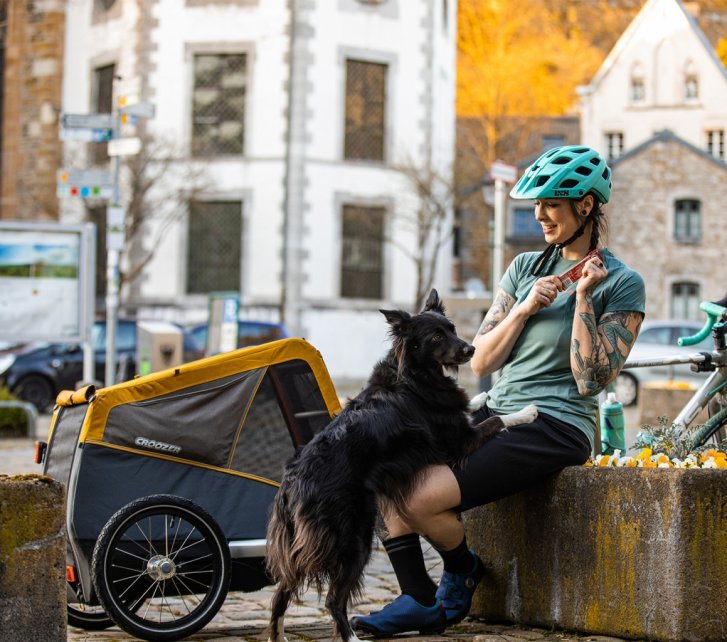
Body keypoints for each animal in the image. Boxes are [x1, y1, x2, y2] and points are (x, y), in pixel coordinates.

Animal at [266, 292, 536, 640]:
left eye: (451, 329)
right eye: (435, 337)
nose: (471, 349)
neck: (413, 374)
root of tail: (291, 484)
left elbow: (473, 407)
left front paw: (481, 396)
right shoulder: (459, 443)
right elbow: (496, 420)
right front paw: (526, 412)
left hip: (303, 544)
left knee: (281, 591)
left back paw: (278, 634)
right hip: (353, 537)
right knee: (332, 598)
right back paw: (351, 637)